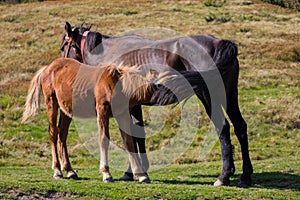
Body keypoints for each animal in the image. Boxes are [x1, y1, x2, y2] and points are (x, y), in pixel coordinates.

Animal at [59, 21, 252, 186]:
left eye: (63, 47)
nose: (61, 64)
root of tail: (219, 43)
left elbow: (133, 136)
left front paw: (135, 172)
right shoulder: (134, 106)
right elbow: (138, 134)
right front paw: (138, 170)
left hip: (209, 97)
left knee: (223, 128)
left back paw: (224, 176)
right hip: (230, 96)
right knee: (240, 127)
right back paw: (245, 175)